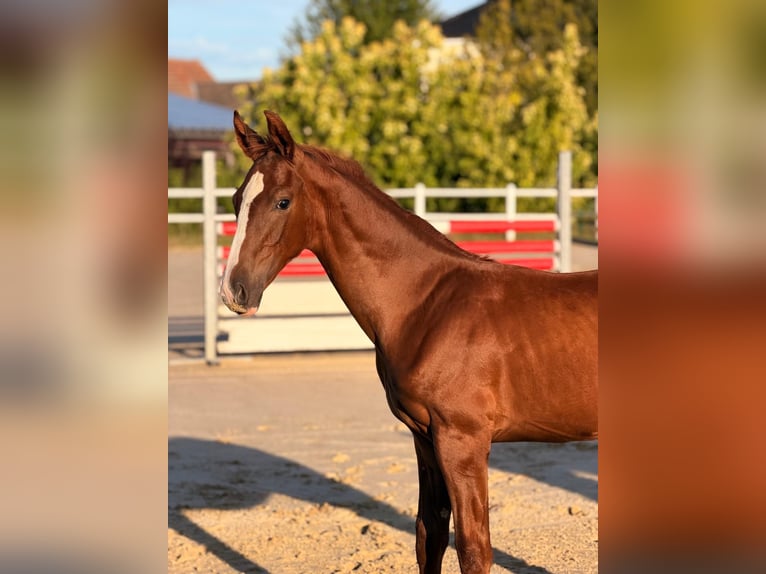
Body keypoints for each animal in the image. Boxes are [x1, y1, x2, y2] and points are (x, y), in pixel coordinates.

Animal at [220, 110, 598, 574]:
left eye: (283, 201)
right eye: (236, 199)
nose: (234, 290)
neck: (426, 305)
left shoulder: (462, 441)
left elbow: (473, 548)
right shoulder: (425, 438)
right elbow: (428, 535)